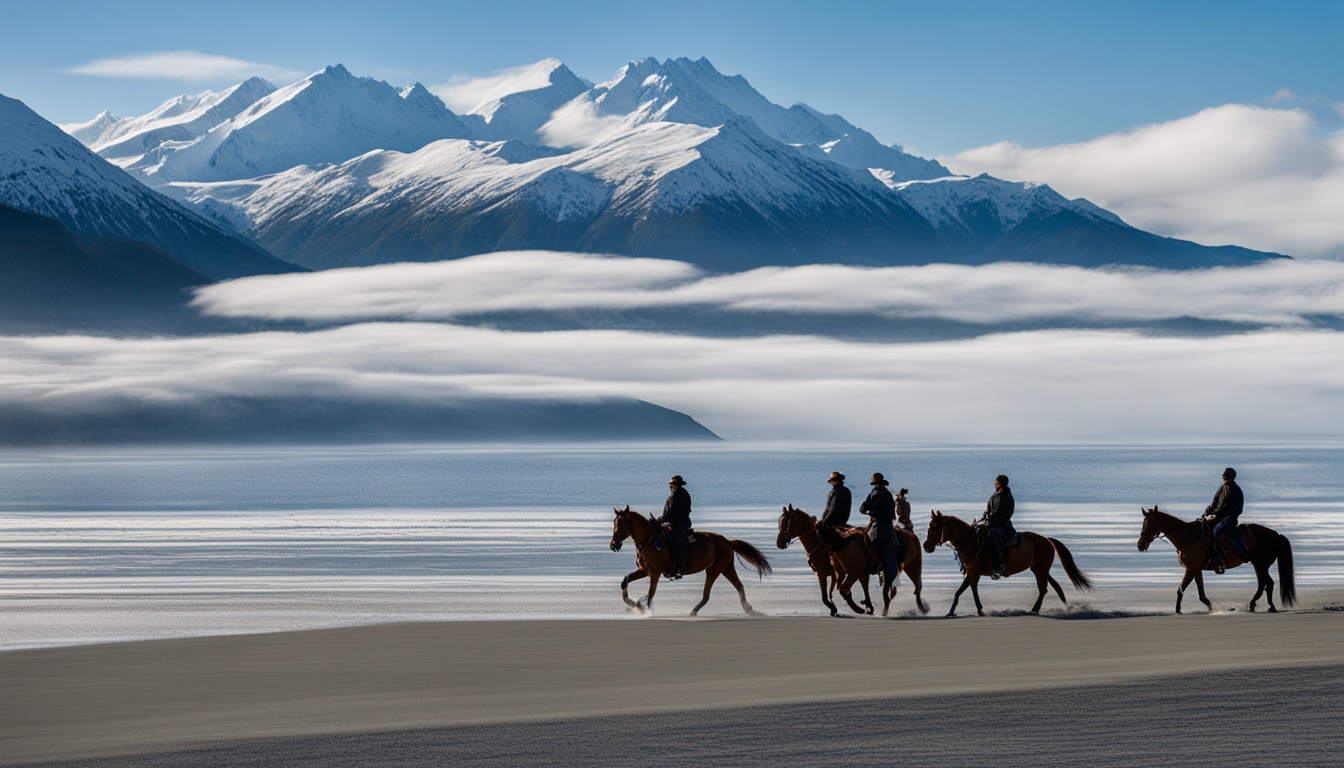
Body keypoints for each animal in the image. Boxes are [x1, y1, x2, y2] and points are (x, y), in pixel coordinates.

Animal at [607, 505, 768, 618]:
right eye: (614, 523)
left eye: (623, 524)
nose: (614, 545)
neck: (650, 541)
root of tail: (727, 541)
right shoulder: (644, 571)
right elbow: (625, 581)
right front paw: (633, 603)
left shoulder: (655, 573)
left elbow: (651, 594)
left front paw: (644, 609)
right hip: (726, 567)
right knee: (739, 586)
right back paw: (749, 609)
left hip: (714, 569)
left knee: (707, 595)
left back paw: (694, 611)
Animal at [774, 505, 930, 618]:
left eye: (786, 523)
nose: (779, 542)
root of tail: (911, 534)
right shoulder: (823, 574)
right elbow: (826, 596)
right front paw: (836, 608)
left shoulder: (843, 572)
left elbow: (839, 590)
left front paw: (856, 607)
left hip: (913, 566)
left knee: (917, 586)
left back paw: (921, 607)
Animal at [924, 511, 1091, 618]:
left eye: (934, 527)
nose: (926, 546)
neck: (970, 542)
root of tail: (1047, 540)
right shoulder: (971, 573)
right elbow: (960, 592)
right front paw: (952, 612)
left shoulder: (974, 573)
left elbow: (969, 590)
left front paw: (979, 610)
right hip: (1040, 569)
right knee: (1047, 587)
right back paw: (1036, 608)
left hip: (1040, 570)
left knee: (1043, 589)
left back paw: (1034, 609)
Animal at [1139, 508, 1295, 616]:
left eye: (1150, 524)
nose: (1140, 544)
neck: (1188, 537)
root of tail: (1276, 535)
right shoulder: (1195, 569)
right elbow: (1199, 594)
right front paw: (1210, 608)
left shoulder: (1191, 569)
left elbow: (1182, 589)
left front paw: (1178, 610)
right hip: (1258, 565)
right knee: (1263, 584)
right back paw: (1253, 605)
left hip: (1261, 565)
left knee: (1269, 584)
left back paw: (1269, 606)